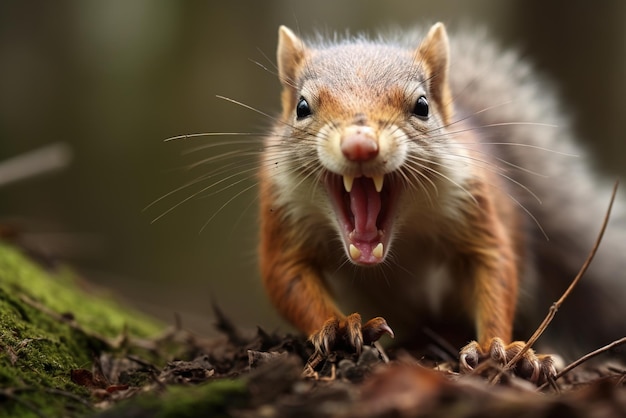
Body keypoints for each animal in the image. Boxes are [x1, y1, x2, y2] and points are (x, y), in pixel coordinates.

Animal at [255, 22, 624, 382]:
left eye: (422, 106)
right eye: (302, 108)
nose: (360, 145)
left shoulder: (470, 204)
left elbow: (494, 265)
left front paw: (498, 348)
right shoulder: (284, 213)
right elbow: (285, 274)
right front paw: (338, 327)